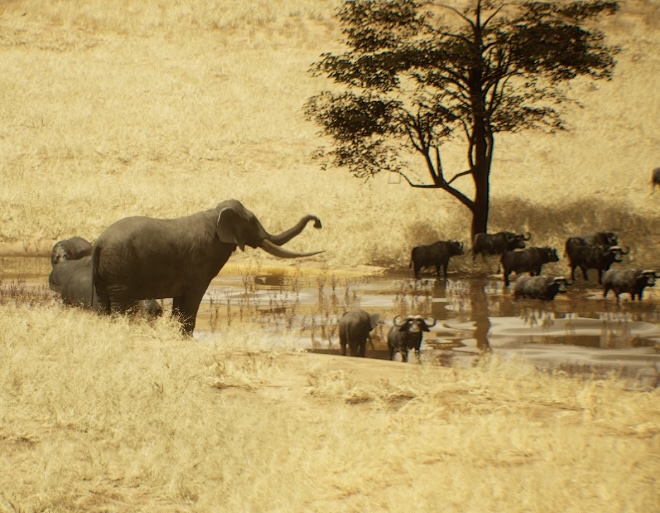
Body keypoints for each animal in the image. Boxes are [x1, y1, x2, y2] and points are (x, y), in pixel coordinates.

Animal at [92, 199, 324, 335]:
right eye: (252, 221)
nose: (317, 222)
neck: (215, 215)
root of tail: (100, 242)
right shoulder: (200, 263)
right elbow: (194, 296)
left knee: (104, 305)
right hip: (120, 270)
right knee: (119, 305)